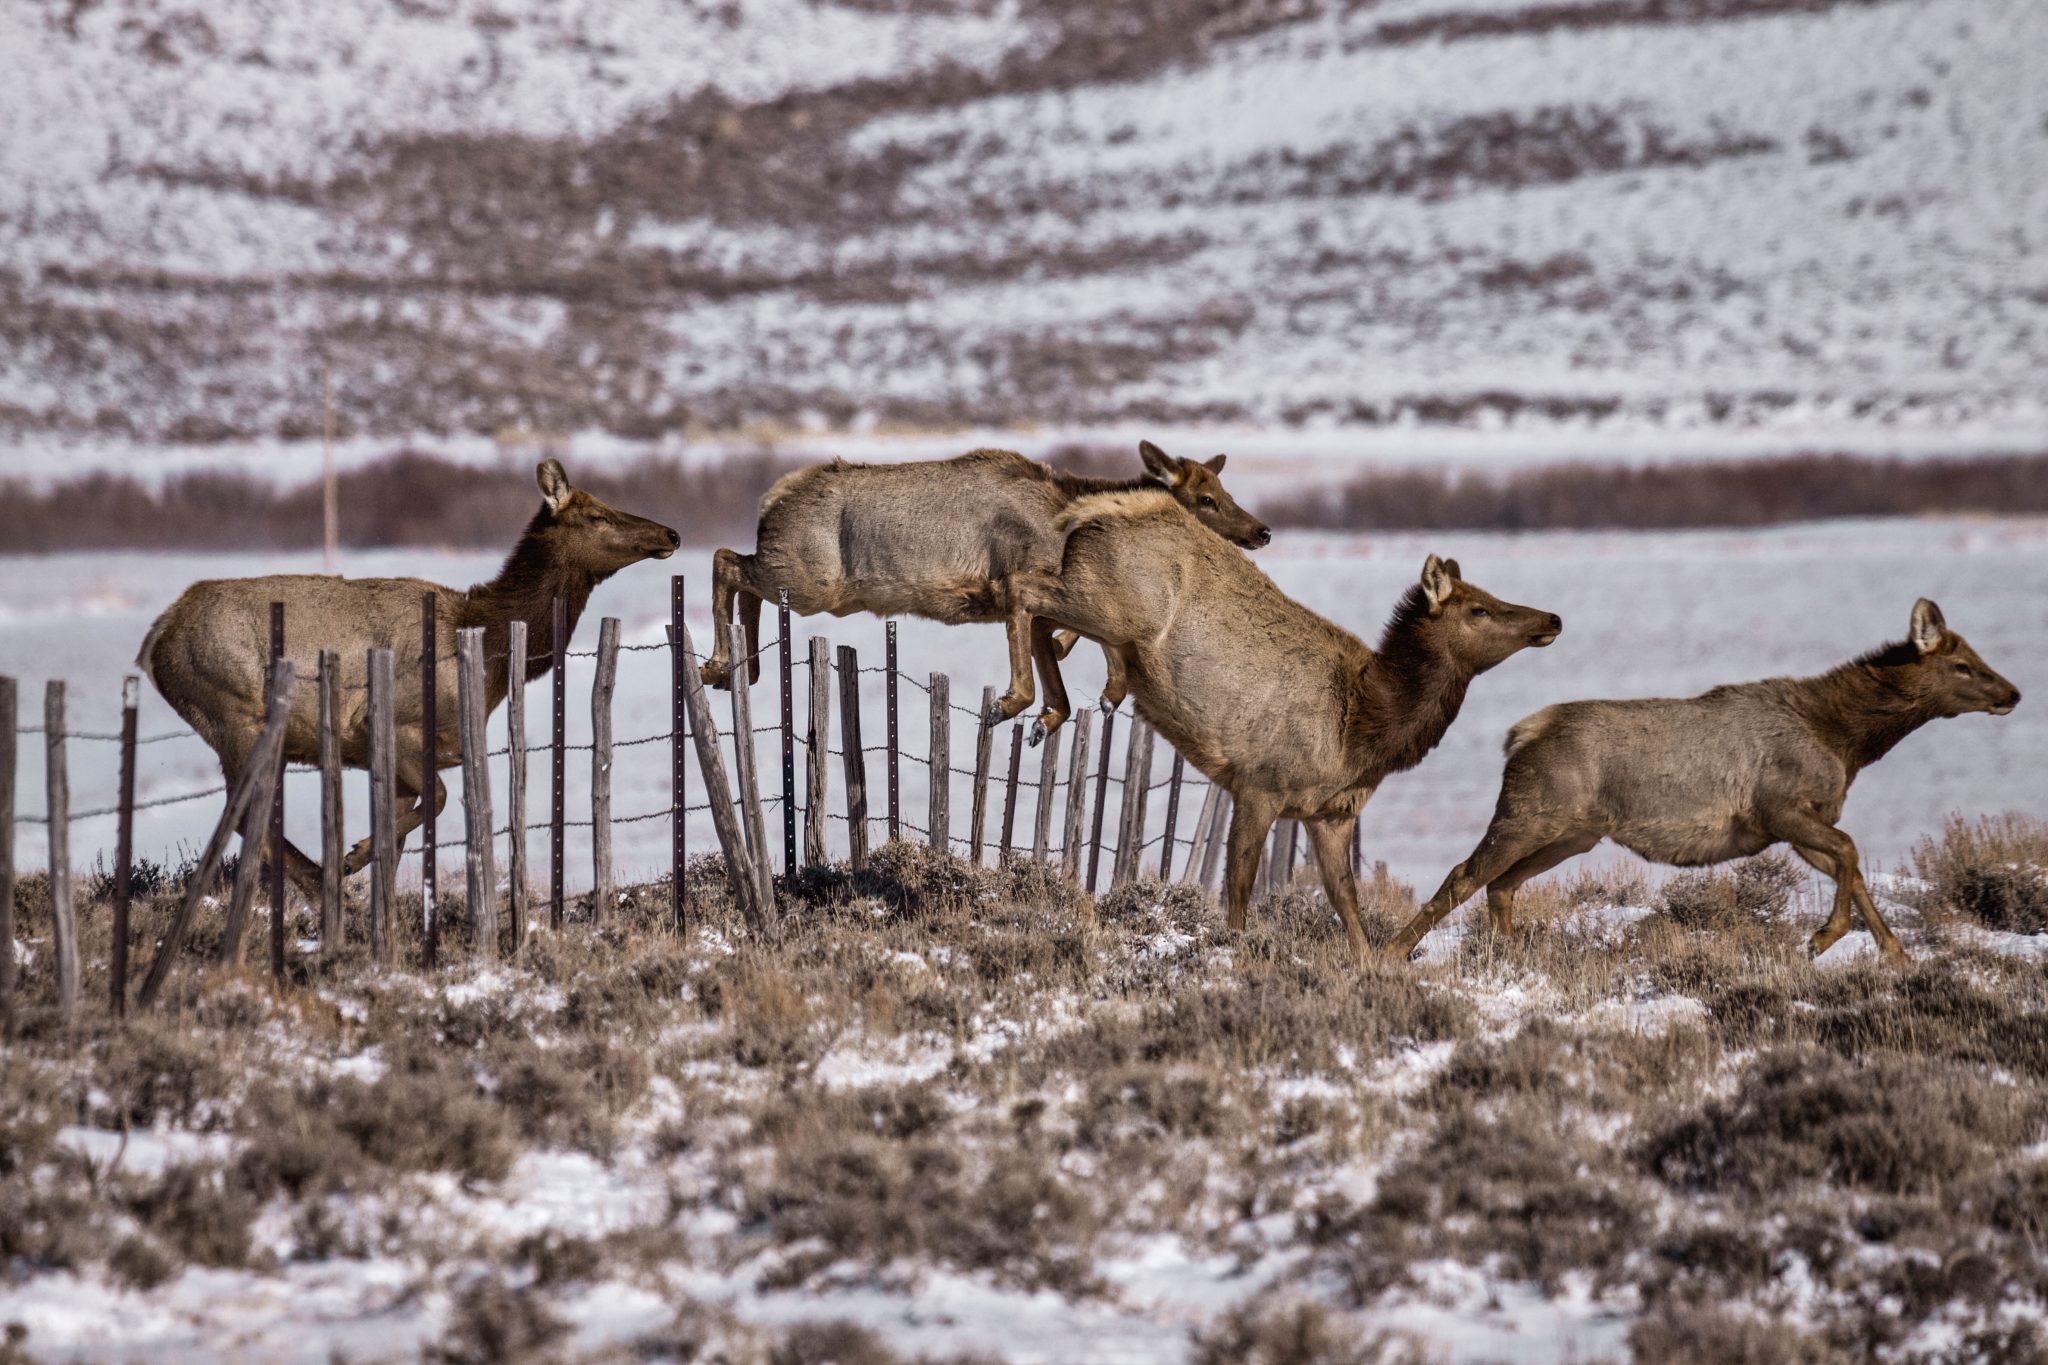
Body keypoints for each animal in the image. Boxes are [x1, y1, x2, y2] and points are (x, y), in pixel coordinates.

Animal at [138, 464, 679, 900]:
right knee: (247, 812)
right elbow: (435, 801)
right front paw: (355, 852)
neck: (489, 647)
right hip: (235, 714)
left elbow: (400, 840)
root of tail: (156, 637)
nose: (671, 533)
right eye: (597, 516)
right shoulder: (396, 724)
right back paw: (321, 880)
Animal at [700, 444, 1261, 732]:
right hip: (811, 578)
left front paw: (1054, 713)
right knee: (725, 560)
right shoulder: (1019, 582)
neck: (1067, 525)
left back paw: (742, 670)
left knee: (741, 576)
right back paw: (716, 664)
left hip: (798, 578)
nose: (1261, 531)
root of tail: (770, 500)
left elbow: (1062, 659)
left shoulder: (1033, 599)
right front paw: (1015, 704)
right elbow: (1052, 654)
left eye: (1224, 487)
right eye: (1206, 498)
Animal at [1384, 593, 2023, 961]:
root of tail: (1520, 735)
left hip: (1572, 833)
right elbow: (1850, 850)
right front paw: (1820, 938)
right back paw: (1390, 953)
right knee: (1466, 874)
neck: (1845, 740)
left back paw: (1513, 957)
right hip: (1529, 812)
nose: (2013, 693)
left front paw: (1899, 959)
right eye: (1962, 664)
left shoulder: (1796, 825)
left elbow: (1854, 868)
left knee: (1502, 884)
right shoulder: (1779, 806)